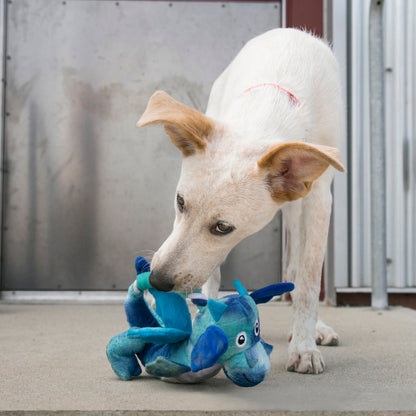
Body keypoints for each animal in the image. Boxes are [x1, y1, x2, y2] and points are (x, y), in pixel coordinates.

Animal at [136, 29, 344, 374]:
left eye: (223, 227)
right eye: (180, 202)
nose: (157, 280)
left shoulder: (319, 199)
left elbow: (309, 279)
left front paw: (304, 346)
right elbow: (212, 273)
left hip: (301, 207)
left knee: (298, 265)